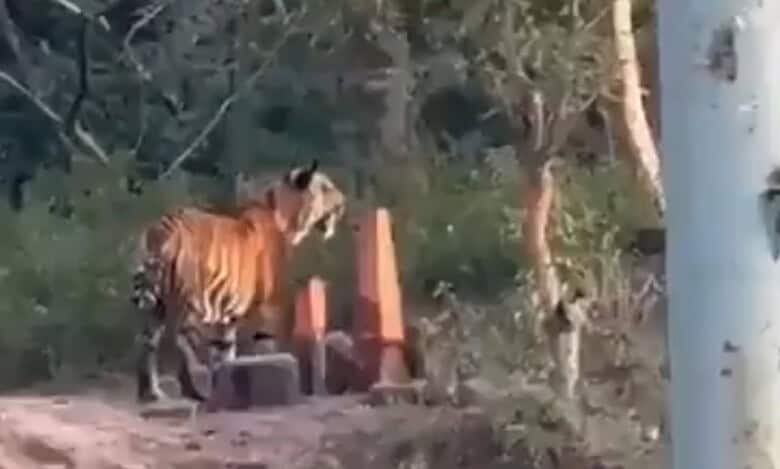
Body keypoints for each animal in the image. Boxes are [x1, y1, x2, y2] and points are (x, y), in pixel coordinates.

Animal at [130, 160, 346, 403]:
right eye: (326, 188)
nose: (343, 202)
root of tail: (160, 229)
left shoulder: (226, 318)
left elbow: (224, 353)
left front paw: (224, 385)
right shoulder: (268, 307)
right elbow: (264, 346)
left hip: (155, 306)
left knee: (146, 343)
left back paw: (151, 393)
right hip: (190, 303)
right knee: (181, 341)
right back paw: (194, 390)